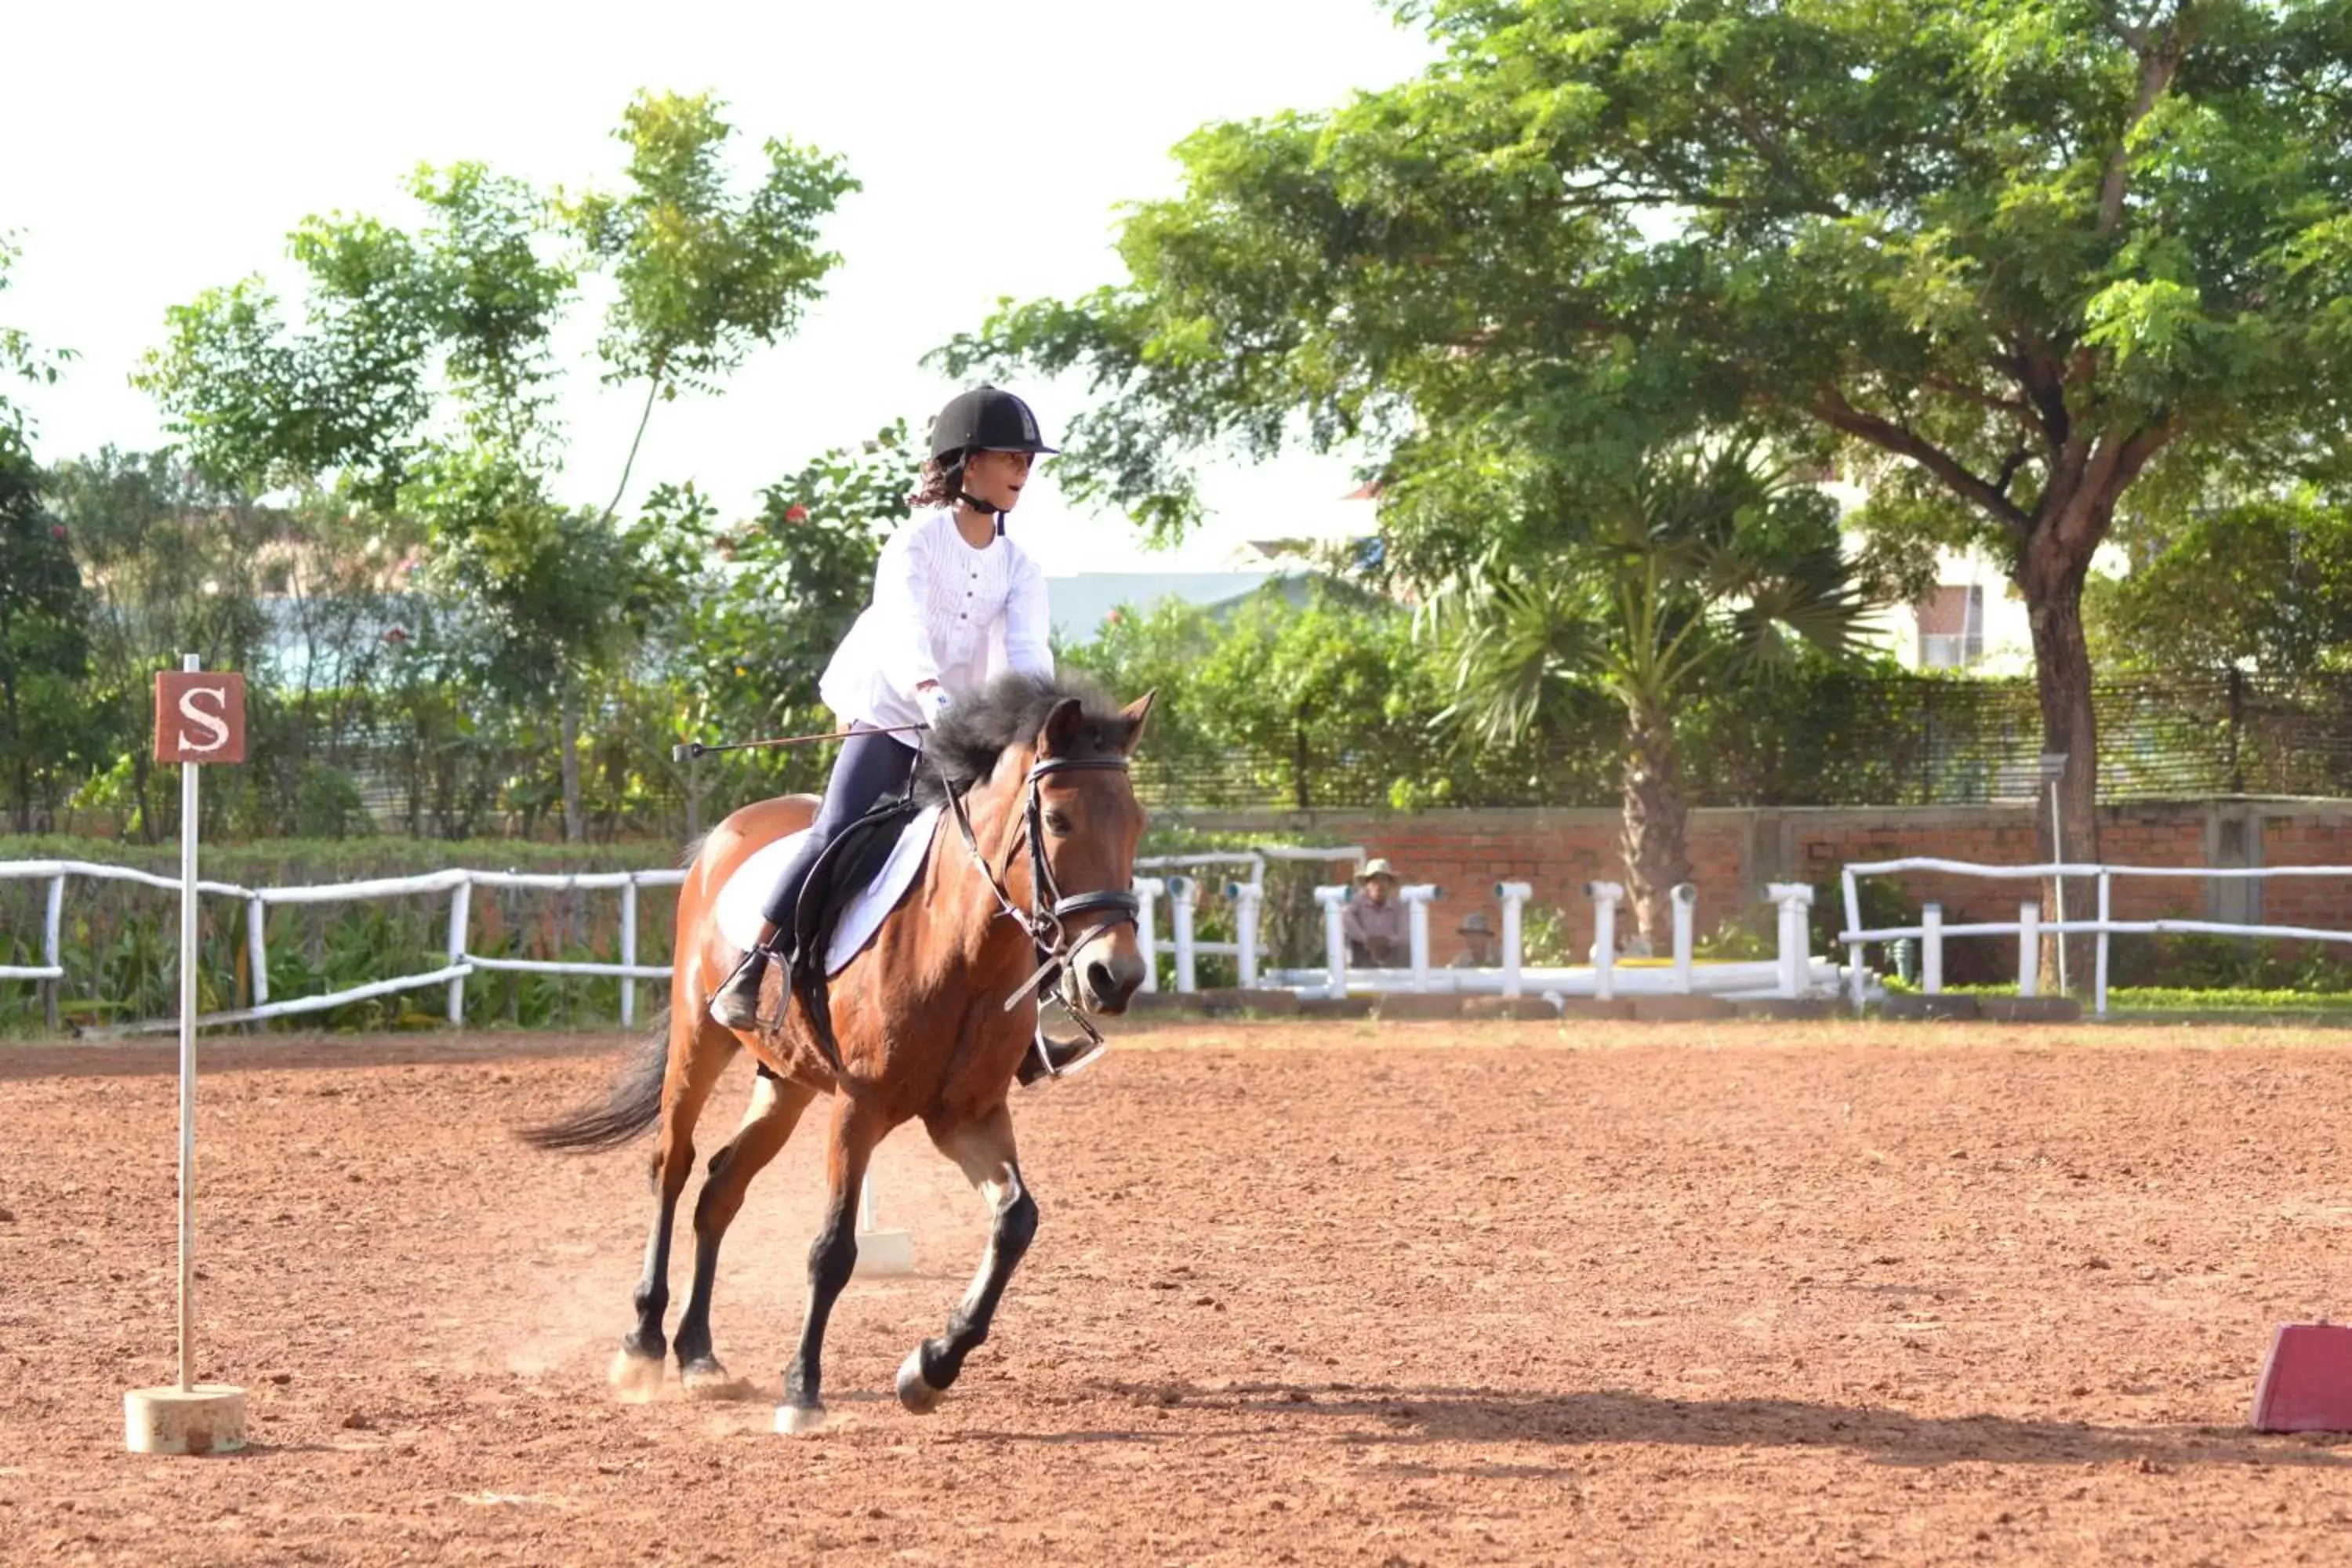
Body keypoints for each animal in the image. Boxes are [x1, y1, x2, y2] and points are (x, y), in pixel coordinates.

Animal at [520, 677, 1152, 1439]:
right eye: (1057, 820)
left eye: (1137, 824)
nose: (1115, 977)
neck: (962, 948)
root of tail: (724, 835)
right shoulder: (860, 1108)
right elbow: (834, 1251)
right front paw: (802, 1391)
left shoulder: (967, 1116)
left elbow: (1015, 1221)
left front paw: (929, 1368)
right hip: (700, 1042)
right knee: (672, 1168)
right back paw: (643, 1344)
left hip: (785, 1080)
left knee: (720, 1188)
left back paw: (699, 1355)